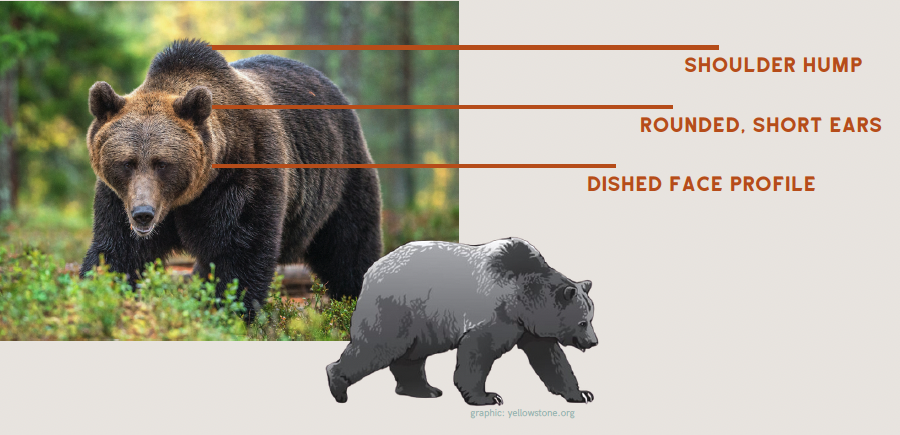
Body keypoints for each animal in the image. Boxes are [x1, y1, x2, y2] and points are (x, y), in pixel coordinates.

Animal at [79, 39, 383, 320]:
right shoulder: (119, 198)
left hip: (341, 178)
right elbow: (117, 251)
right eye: (127, 163)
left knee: (349, 246)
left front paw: (229, 310)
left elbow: (241, 250)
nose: (143, 214)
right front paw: (97, 293)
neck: (185, 197)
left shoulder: (243, 174)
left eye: (162, 163)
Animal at [326, 237, 598, 405]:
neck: (523, 296)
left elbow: (550, 359)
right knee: (377, 346)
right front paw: (488, 397)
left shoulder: (530, 328)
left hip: (421, 322)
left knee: (410, 355)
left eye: (591, 317)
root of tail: (371, 271)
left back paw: (424, 390)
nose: (593, 341)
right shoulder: (497, 314)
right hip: (397, 307)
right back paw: (337, 384)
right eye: (583, 322)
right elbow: (477, 350)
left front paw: (581, 393)